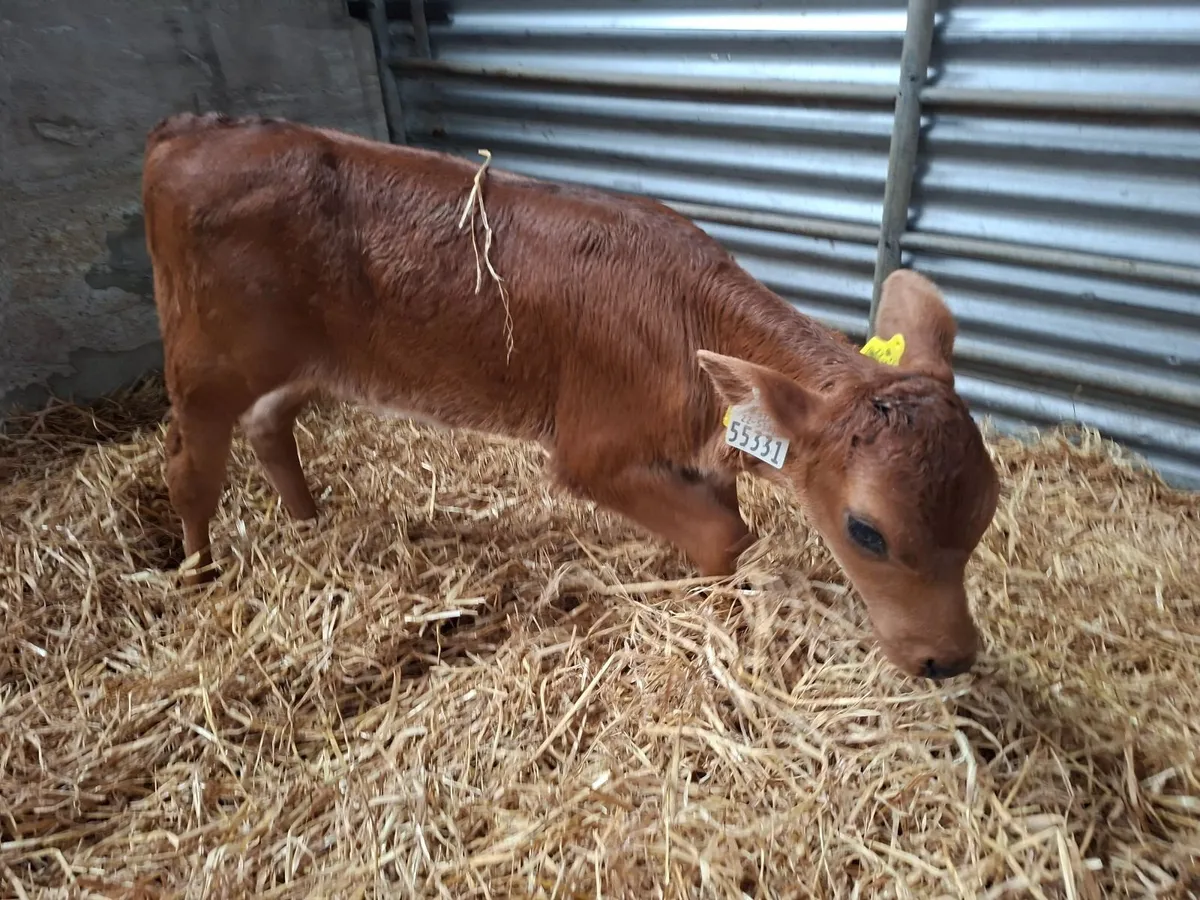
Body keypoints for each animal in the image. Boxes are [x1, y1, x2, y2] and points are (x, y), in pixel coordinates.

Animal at [141, 112, 1000, 680]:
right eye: (866, 532)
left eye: (987, 512)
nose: (949, 659)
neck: (688, 323)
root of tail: (190, 130)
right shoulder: (593, 452)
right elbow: (727, 536)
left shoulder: (703, 451)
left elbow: (723, 524)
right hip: (206, 361)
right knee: (189, 466)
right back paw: (198, 571)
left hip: (304, 362)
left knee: (270, 427)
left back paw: (308, 522)